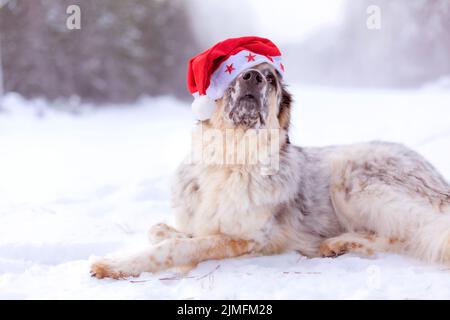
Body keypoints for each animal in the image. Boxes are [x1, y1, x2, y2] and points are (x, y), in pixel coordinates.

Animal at [90, 62, 450, 278]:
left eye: (272, 78)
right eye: (235, 73)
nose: (253, 77)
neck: (231, 161)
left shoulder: (249, 238)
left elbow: (180, 246)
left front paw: (114, 264)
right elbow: (163, 230)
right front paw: (172, 232)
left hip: (354, 180)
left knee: (412, 234)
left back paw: (343, 244)